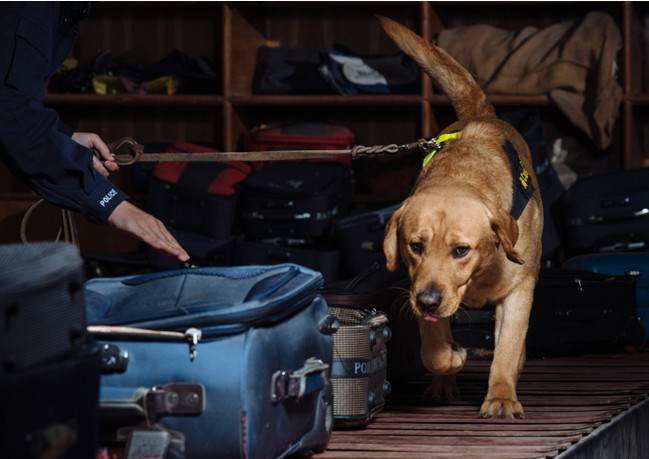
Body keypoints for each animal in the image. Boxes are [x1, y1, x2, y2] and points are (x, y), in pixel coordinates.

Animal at [380, 17, 540, 420]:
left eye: (461, 250)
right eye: (415, 246)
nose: (428, 301)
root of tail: (477, 113)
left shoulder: (518, 291)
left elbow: (507, 348)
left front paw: (501, 396)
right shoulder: (419, 285)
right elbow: (434, 350)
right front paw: (451, 359)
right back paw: (443, 385)